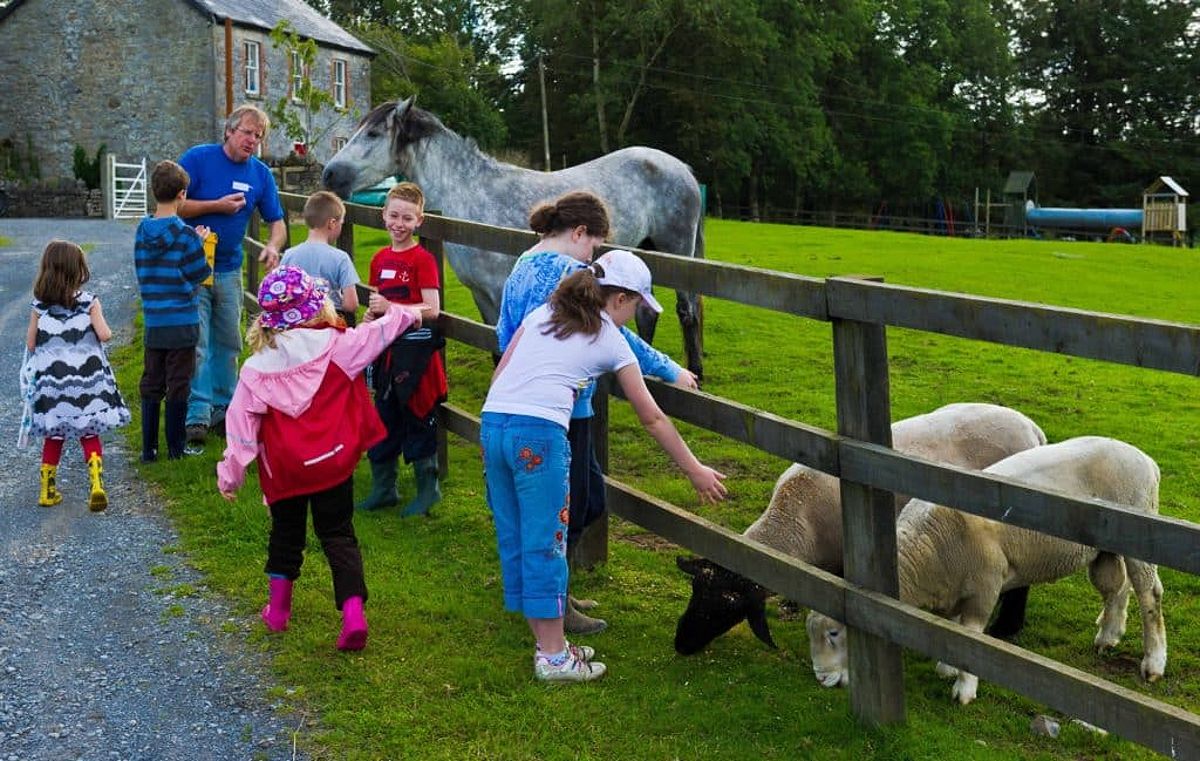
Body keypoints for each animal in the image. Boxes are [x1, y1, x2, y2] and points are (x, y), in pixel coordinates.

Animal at [324, 97, 705, 376]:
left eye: (374, 134)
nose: (329, 174)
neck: (474, 195)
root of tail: (682, 168)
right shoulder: (481, 295)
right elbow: (494, 348)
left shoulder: (499, 290)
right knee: (648, 314)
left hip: (677, 251)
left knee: (687, 311)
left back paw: (696, 374)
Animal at [676, 400, 1051, 652]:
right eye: (695, 589)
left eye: (727, 605)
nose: (681, 643)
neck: (796, 519)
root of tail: (1033, 429)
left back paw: (1006, 628)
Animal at [806, 434, 1161, 700]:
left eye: (835, 632)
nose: (821, 679)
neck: (927, 551)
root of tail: (1147, 460)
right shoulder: (951, 588)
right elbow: (950, 626)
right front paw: (947, 666)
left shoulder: (985, 585)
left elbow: (971, 634)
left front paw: (964, 687)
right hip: (1105, 549)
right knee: (1116, 585)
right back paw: (1109, 634)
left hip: (1140, 527)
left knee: (1149, 593)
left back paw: (1154, 662)